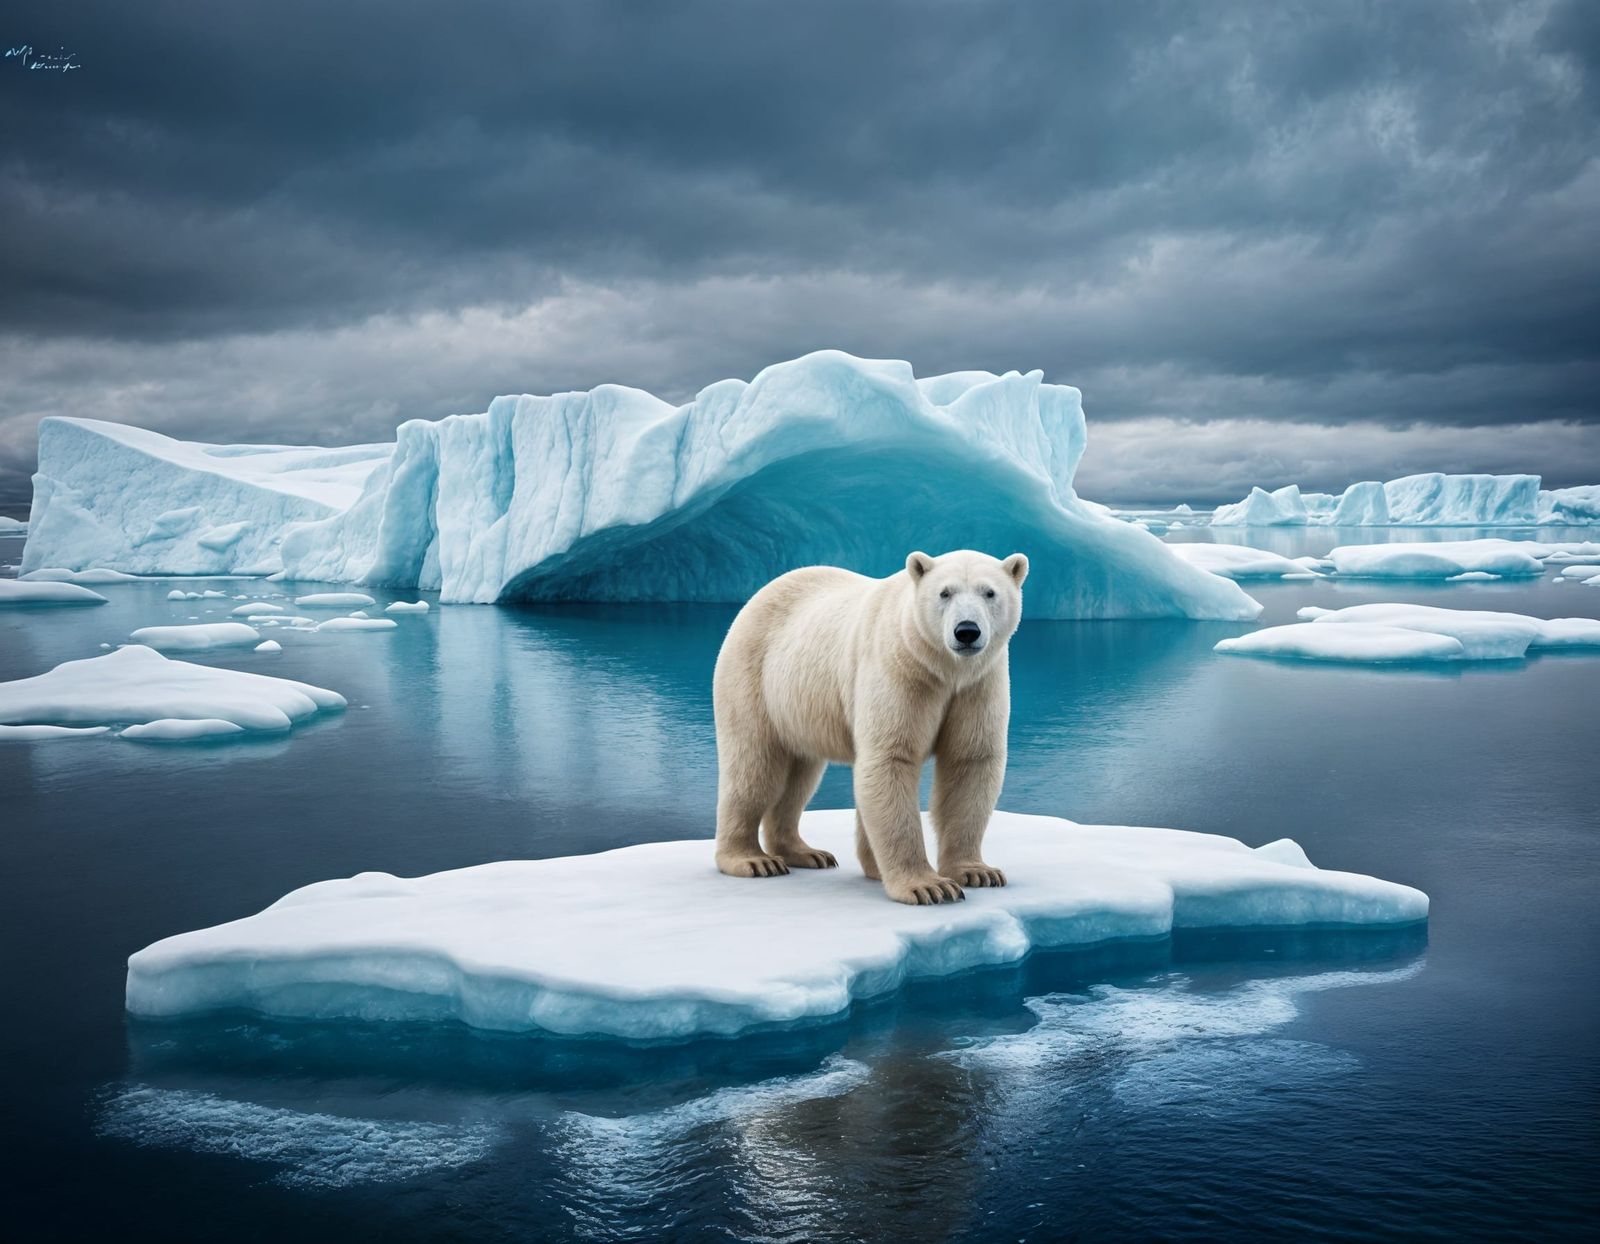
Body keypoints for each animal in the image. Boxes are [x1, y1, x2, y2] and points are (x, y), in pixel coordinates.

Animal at [712, 548, 1028, 905]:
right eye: (944, 593)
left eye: (989, 592)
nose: (967, 631)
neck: (944, 669)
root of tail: (759, 596)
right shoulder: (901, 670)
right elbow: (890, 758)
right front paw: (928, 886)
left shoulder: (978, 685)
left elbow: (969, 762)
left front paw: (978, 872)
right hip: (754, 678)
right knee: (753, 767)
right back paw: (753, 860)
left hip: (799, 706)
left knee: (799, 775)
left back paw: (806, 853)